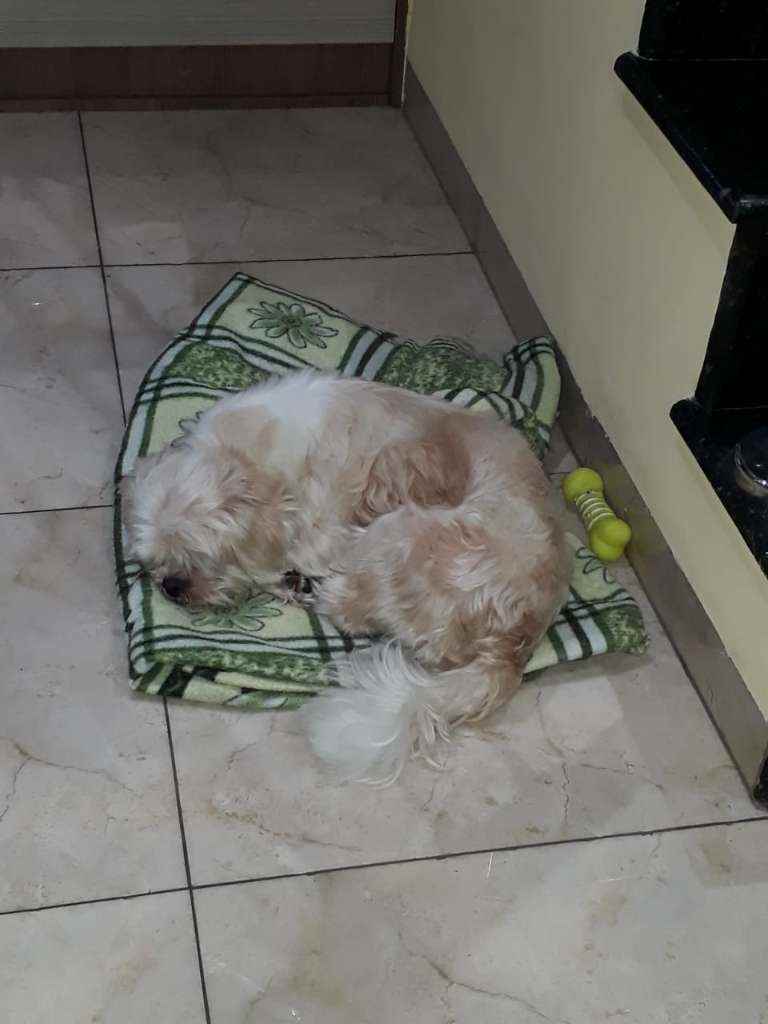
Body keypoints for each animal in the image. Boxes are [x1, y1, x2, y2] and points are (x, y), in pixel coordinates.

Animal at [123, 371, 569, 783]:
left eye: (199, 557)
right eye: (154, 561)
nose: (171, 586)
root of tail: (513, 645)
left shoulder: (324, 533)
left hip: (397, 533)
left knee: (349, 610)